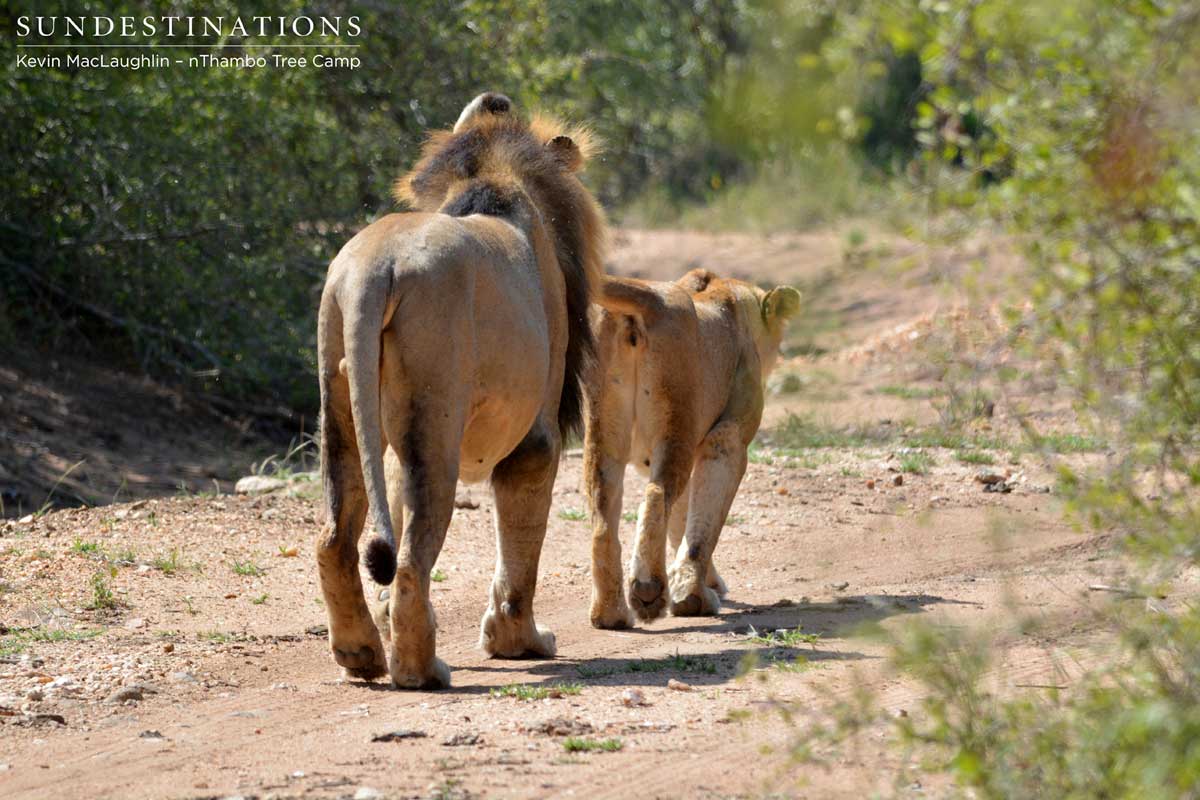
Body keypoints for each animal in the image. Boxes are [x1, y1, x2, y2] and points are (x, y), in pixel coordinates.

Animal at [315, 92, 605, 688]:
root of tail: (376, 267)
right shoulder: (537, 437)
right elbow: (521, 548)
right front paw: (518, 641)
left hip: (340, 402)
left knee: (335, 539)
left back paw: (362, 654)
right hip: (435, 419)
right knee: (408, 559)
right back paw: (422, 669)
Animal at [583, 268, 801, 628]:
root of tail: (648, 297)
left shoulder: (652, 456)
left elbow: (682, 521)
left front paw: (702, 582)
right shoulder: (727, 438)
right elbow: (702, 528)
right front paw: (692, 597)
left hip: (605, 433)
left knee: (603, 514)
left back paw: (610, 613)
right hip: (677, 425)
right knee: (656, 495)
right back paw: (648, 591)